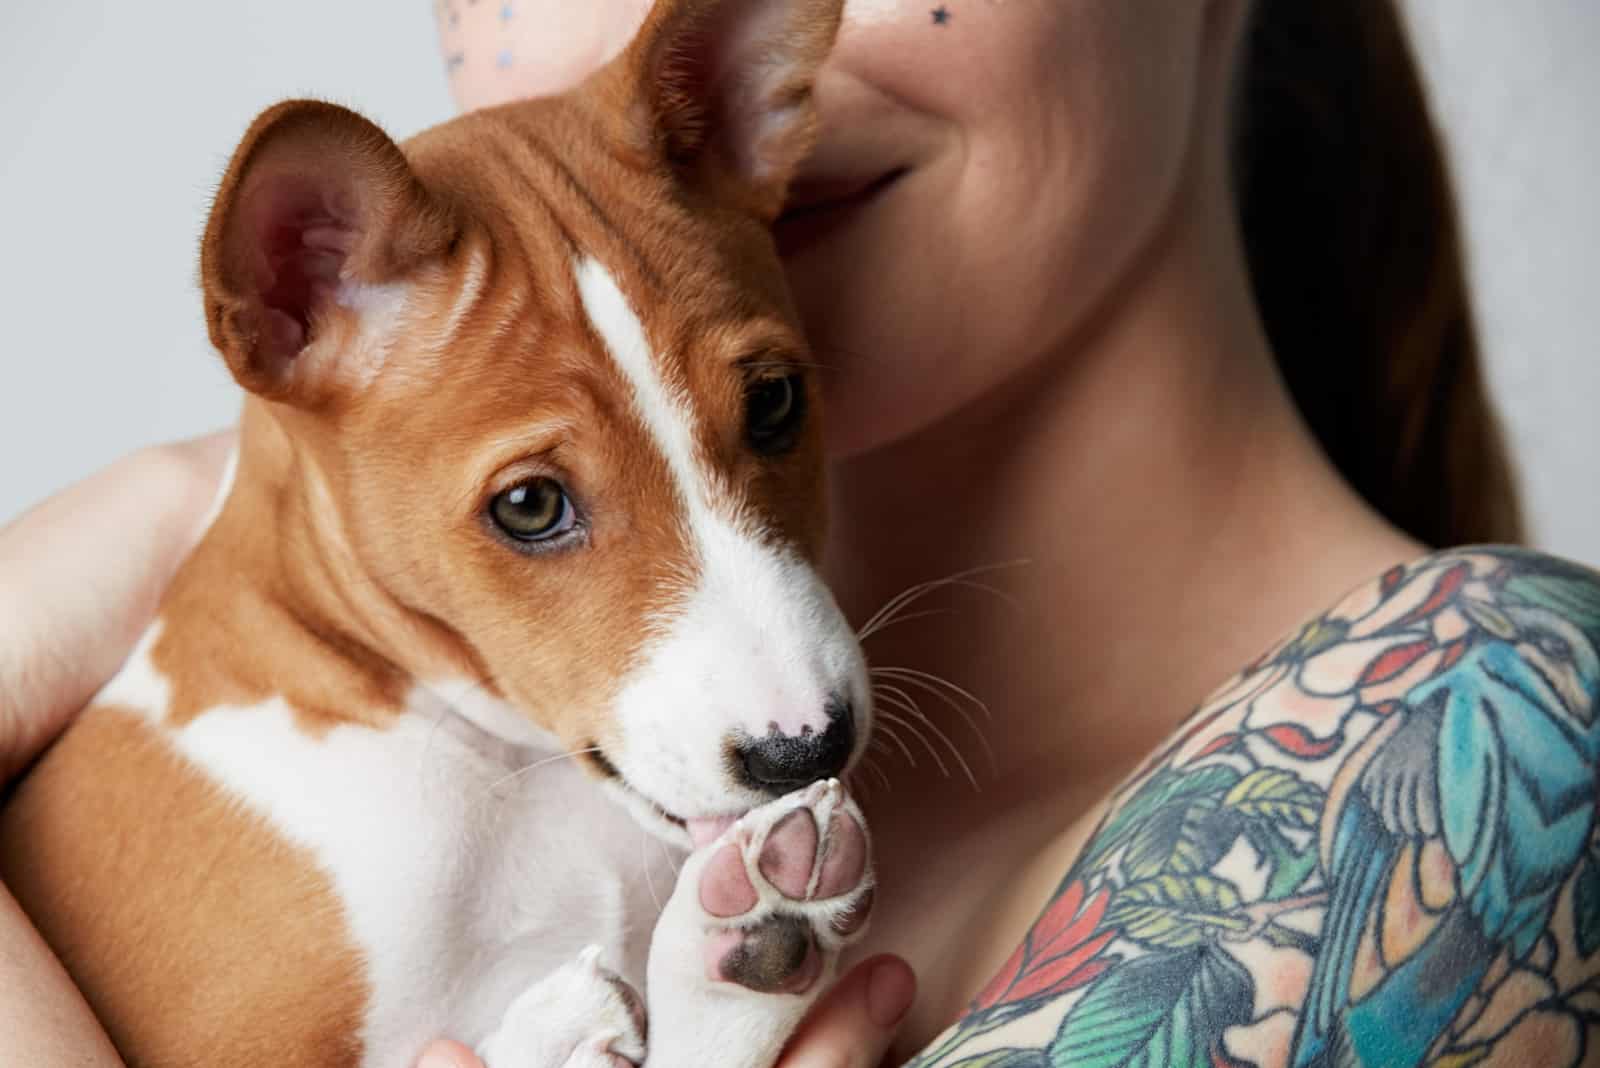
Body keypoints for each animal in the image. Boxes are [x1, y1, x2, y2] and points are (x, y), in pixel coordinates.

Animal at [0, 2, 876, 1068]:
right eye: (530, 506)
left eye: (776, 403)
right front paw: (561, 1024)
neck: (508, 769)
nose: (810, 751)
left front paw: (754, 939)